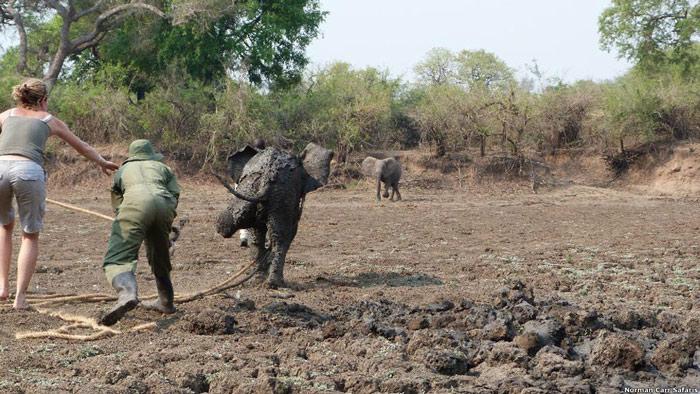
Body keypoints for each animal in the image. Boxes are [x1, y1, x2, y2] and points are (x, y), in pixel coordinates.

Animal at [216, 143, 334, 288]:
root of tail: (266, 179)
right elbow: (290, 232)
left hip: (252, 191)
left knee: (255, 236)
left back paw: (259, 280)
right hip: (280, 197)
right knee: (280, 238)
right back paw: (276, 283)